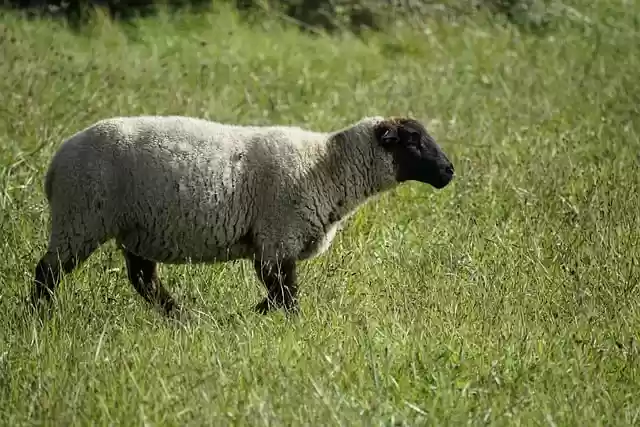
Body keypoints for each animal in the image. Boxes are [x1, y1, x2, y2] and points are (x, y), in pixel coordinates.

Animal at [30, 115, 455, 317]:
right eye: (413, 141)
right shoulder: (277, 237)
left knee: (143, 279)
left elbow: (279, 293)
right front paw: (282, 323)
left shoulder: (273, 244)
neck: (327, 167)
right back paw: (40, 317)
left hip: (136, 228)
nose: (449, 171)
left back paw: (183, 318)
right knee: (47, 272)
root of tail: (55, 165)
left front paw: (251, 314)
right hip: (81, 217)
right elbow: (286, 294)